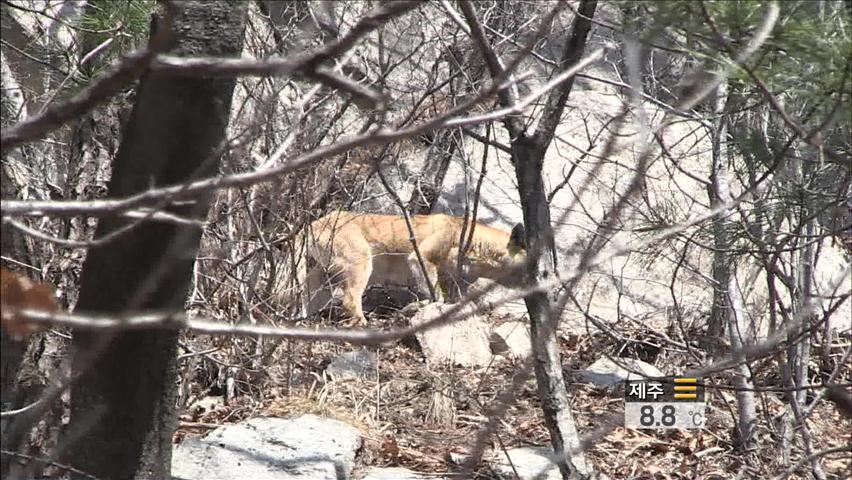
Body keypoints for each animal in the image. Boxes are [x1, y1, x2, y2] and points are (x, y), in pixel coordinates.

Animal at [302, 211, 528, 326]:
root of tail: (313, 223)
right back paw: (365, 324)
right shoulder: (422, 258)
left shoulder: (451, 281)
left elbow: (449, 299)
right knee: (349, 301)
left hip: (322, 282)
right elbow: (436, 297)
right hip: (361, 263)